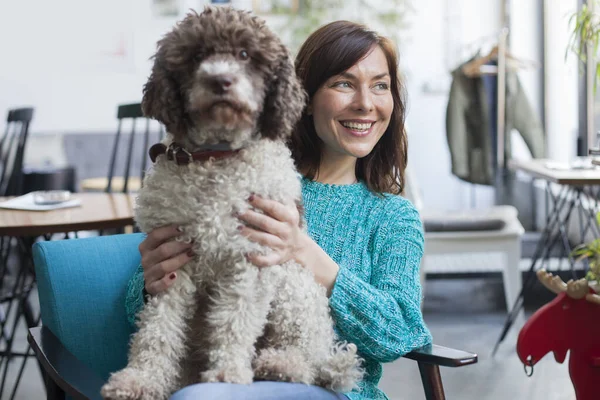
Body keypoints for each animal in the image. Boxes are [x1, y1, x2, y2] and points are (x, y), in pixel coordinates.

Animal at [100, 6, 360, 400]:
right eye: (196, 56)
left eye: (244, 54)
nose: (220, 80)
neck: (215, 158)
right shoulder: (172, 260)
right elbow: (158, 328)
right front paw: (142, 378)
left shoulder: (250, 257)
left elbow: (234, 320)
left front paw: (226, 374)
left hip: (295, 285)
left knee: (309, 360)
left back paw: (281, 365)